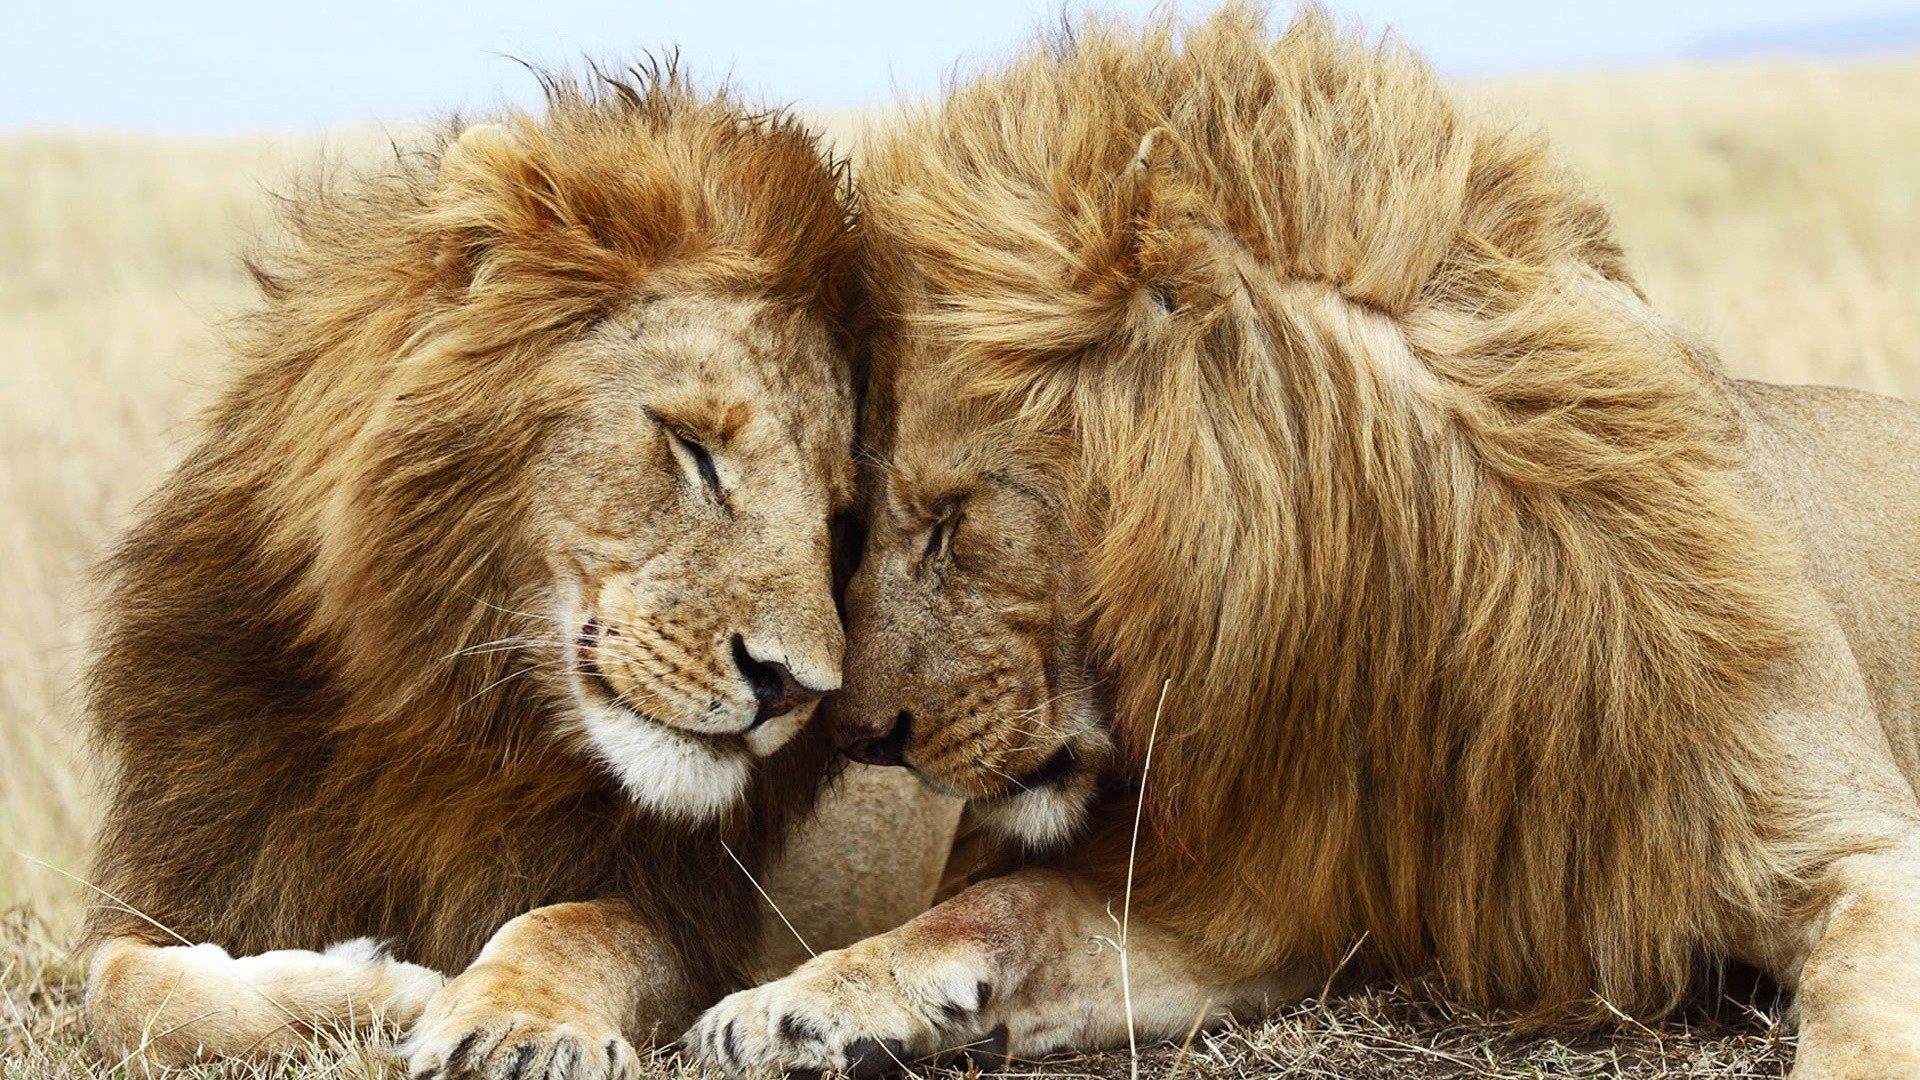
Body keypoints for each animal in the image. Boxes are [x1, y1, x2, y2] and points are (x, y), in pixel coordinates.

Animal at [78, 69, 960, 1076]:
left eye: (839, 518)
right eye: (693, 447)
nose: (793, 688)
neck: (447, 715)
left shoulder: (682, 915)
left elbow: (570, 928)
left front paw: (513, 1024)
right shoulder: (189, 871)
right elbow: (128, 992)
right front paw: (380, 986)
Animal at [691, 8, 1920, 1076]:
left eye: (949, 518)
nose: (857, 737)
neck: (1399, 604)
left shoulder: (1858, 846)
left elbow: (1862, 1012)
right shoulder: (1264, 894)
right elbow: (1006, 905)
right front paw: (794, 1004)